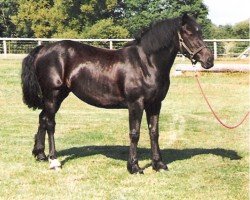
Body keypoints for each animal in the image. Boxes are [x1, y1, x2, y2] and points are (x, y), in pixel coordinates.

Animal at [21, 13, 213, 173]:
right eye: (189, 33)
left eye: (200, 32)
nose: (209, 59)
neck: (146, 63)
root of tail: (44, 49)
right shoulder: (136, 104)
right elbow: (135, 133)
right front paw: (134, 166)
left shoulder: (155, 104)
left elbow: (154, 132)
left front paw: (158, 164)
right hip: (53, 95)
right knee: (50, 124)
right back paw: (54, 161)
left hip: (58, 96)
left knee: (42, 118)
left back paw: (40, 155)